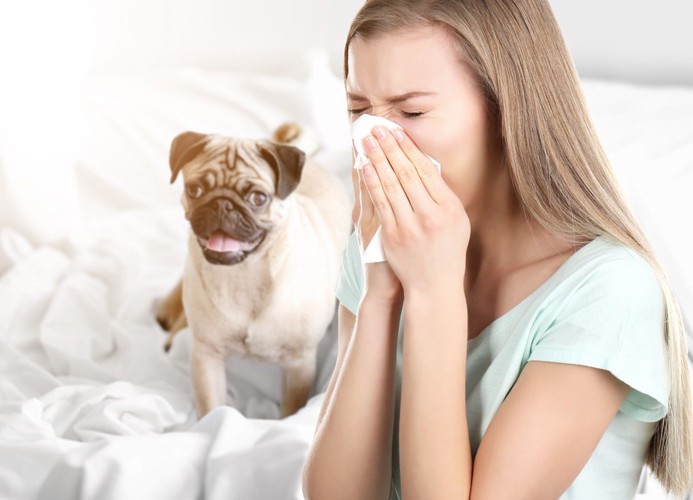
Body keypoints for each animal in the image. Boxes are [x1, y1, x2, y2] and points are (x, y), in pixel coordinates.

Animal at [157, 123, 352, 420]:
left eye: (258, 198)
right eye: (195, 189)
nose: (222, 204)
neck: (243, 275)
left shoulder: (299, 364)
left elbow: (291, 407)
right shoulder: (206, 355)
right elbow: (211, 406)